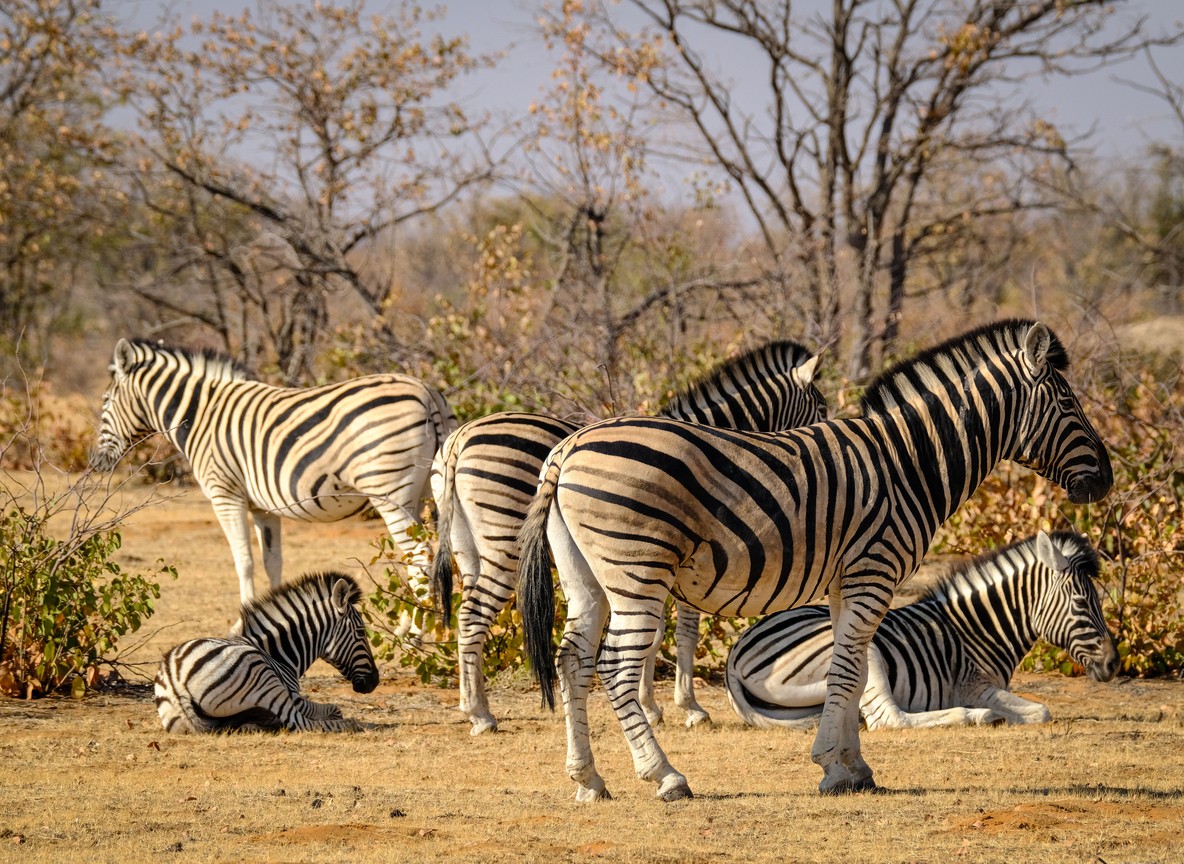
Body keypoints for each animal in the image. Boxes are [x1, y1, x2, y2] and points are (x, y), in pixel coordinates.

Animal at [90, 338, 456, 603]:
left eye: (106, 401)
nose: (94, 462)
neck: (201, 416)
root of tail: (426, 392)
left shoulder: (225, 496)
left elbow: (244, 562)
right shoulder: (262, 508)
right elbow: (272, 562)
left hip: (390, 492)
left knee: (419, 558)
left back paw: (410, 638)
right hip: (431, 492)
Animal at [154, 570, 378, 733]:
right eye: (361, 632)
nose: (375, 681)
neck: (277, 655)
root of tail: (175, 679)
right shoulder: (294, 696)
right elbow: (334, 709)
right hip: (264, 678)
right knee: (301, 723)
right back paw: (350, 724)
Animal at [430, 341, 827, 734]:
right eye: (822, 408)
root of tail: (459, 440)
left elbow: (655, 634)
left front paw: (651, 704)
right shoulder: (684, 559)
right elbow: (680, 632)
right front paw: (686, 707)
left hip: (467, 548)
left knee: (465, 613)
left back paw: (470, 704)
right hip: (505, 542)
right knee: (474, 614)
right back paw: (481, 714)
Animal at [725, 530, 1118, 731]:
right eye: (1082, 603)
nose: (1113, 664)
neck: (979, 629)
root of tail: (734, 655)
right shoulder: (974, 686)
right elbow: (1042, 711)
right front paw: (1007, 714)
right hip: (863, 650)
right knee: (889, 719)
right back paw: (978, 717)